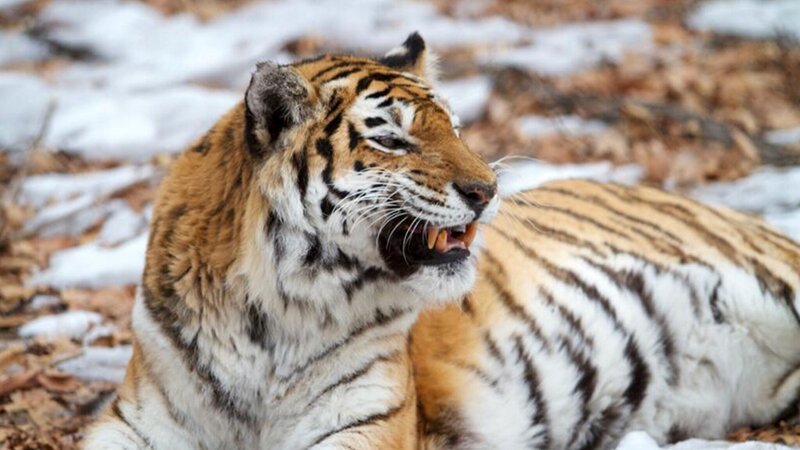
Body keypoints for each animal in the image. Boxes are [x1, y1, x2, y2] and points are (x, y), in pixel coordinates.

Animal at [83, 32, 800, 450]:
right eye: (393, 138)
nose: (488, 190)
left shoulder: (364, 426)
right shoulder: (138, 423)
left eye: (454, 127)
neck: (269, 320)